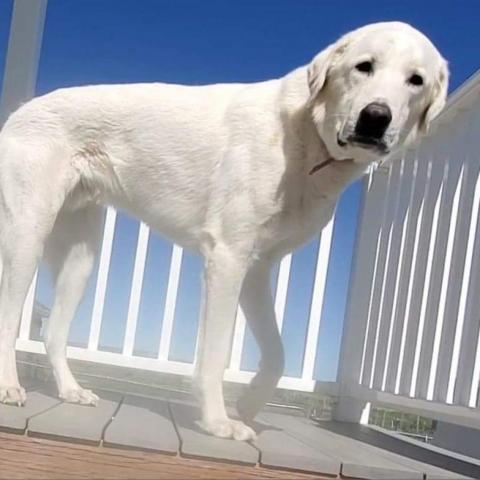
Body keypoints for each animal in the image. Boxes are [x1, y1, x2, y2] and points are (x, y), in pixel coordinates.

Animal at [0, 23, 446, 442]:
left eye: (416, 80)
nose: (376, 117)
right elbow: (215, 354)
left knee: (53, 333)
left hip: (81, 257)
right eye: (363, 66)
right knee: (10, 315)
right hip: (28, 234)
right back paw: (9, 387)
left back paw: (71, 391)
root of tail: (20, 112)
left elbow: (278, 354)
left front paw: (248, 404)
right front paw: (218, 422)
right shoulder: (228, 259)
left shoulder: (257, 271)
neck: (306, 137)